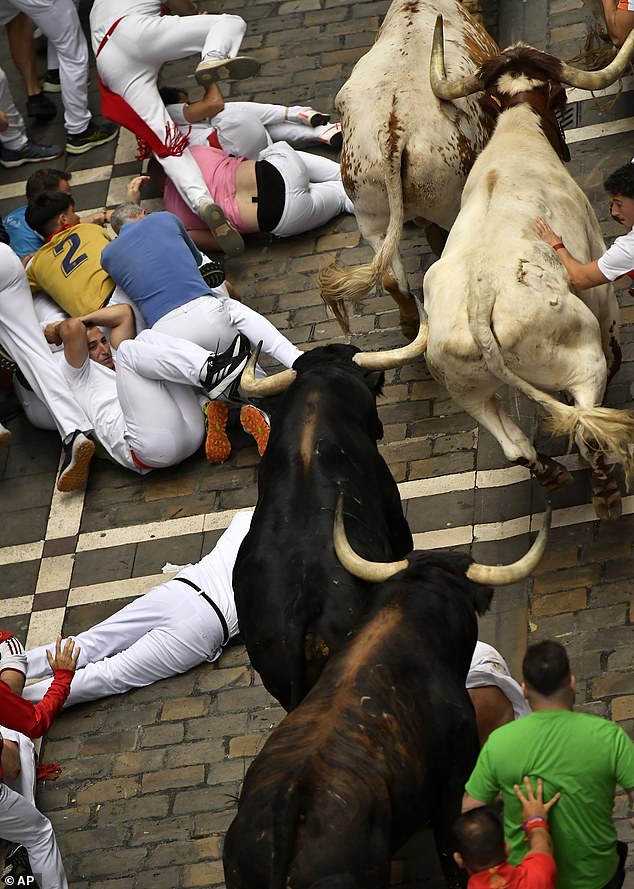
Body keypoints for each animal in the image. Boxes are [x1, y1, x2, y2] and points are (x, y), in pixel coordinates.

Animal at [422, 19, 634, 520]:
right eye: (558, 98)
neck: (516, 136)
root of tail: (480, 304)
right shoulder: (603, 291)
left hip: (468, 390)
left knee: (515, 446)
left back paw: (553, 473)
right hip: (583, 363)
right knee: (587, 426)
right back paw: (605, 496)